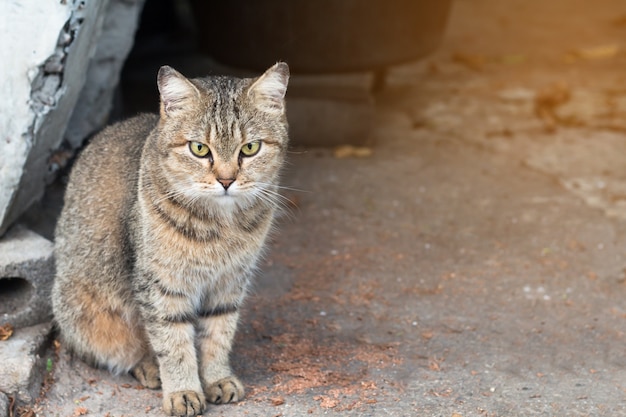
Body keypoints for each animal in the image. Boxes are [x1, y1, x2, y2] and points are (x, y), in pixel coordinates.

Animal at [52, 62, 288, 416]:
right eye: (199, 149)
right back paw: (149, 367)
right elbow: (173, 342)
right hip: (83, 307)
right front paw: (183, 391)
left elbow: (219, 334)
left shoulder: (230, 282)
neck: (221, 225)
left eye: (250, 148)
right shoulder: (161, 285)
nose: (227, 180)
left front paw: (217, 378)